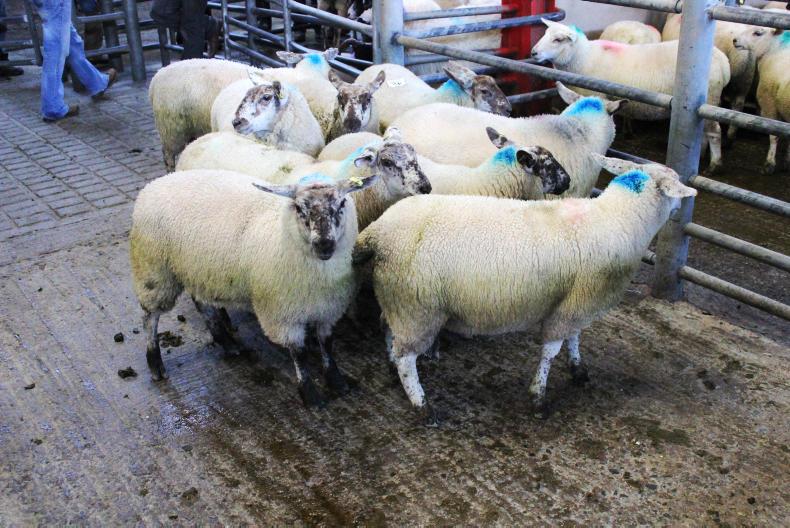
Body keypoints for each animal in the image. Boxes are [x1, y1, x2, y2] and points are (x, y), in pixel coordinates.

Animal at [130, 169, 377, 407]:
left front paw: (336, 381)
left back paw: (227, 343)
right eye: (299, 208)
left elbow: (327, 344)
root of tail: (158, 182)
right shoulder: (282, 315)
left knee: (202, 304)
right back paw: (155, 364)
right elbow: (299, 353)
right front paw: (310, 395)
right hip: (154, 270)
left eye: (342, 204)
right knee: (150, 317)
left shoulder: (329, 308)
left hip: (197, 270)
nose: (324, 245)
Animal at [352, 155, 696, 424]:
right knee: (406, 358)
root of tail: (376, 233)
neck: (618, 219)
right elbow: (551, 351)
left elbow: (574, 338)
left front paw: (578, 370)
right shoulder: (572, 305)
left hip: (398, 301)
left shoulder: (576, 300)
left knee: (388, 331)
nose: (680, 211)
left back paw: (392, 369)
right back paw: (421, 405)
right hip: (417, 307)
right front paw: (538, 396)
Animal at [533, 19, 730, 174]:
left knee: (715, 131)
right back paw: (702, 154)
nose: (533, 52)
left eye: (558, 40)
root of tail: (723, 60)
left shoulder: (595, 97)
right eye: (545, 33)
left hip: (709, 99)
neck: (583, 58)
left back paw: (714, 164)